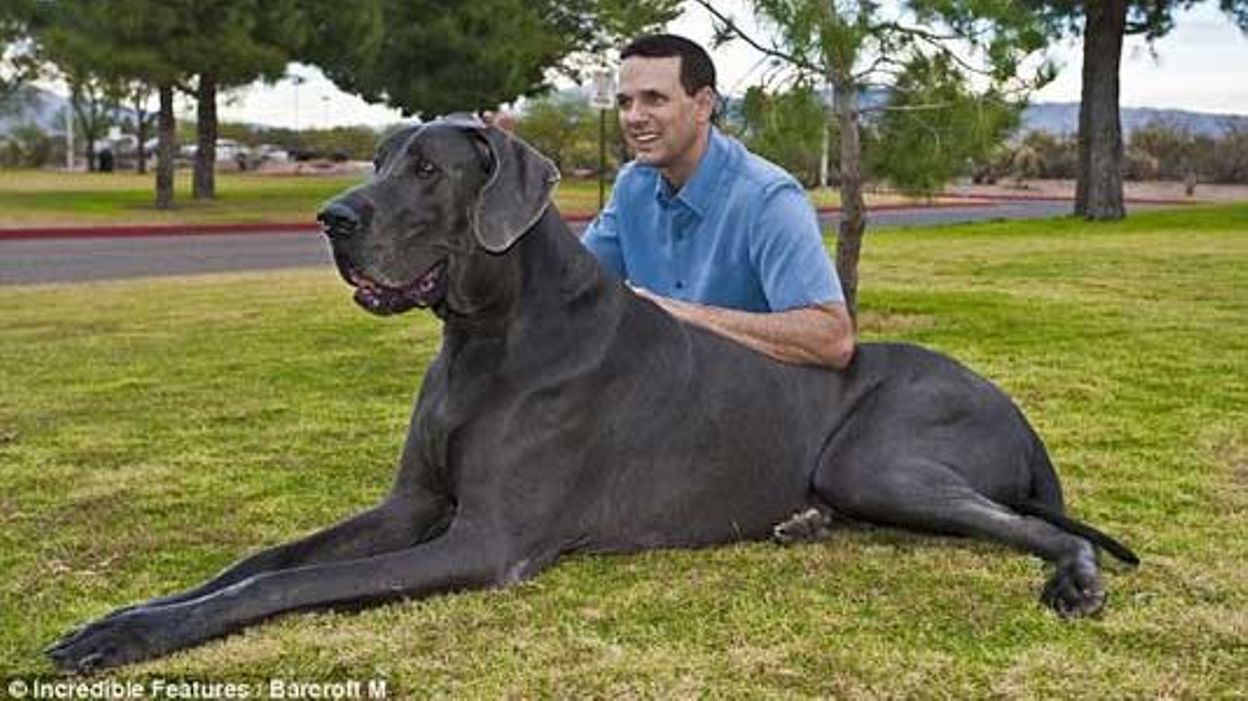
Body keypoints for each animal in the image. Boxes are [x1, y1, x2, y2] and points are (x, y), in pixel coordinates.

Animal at [48, 117, 1143, 668]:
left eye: (426, 168)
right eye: (375, 159)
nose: (330, 218)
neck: (487, 335)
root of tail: (1022, 414)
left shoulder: (483, 540)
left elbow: (285, 586)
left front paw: (135, 636)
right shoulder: (410, 504)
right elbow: (258, 559)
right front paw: (125, 615)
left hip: (876, 457)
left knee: (1044, 528)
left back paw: (1075, 578)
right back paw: (801, 523)